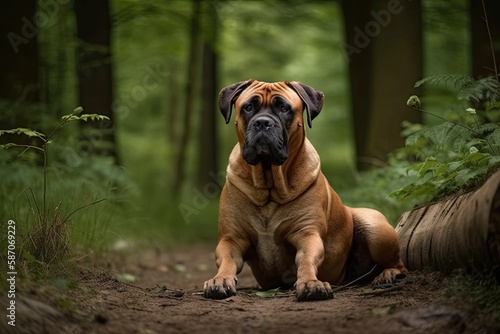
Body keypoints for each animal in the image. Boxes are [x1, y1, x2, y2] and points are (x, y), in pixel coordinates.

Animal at [203, 79, 406, 302]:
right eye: (248, 107)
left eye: (284, 108)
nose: (263, 122)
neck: (269, 185)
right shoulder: (231, 238)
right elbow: (227, 260)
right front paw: (220, 279)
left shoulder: (307, 233)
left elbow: (307, 259)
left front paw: (310, 282)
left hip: (374, 226)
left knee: (400, 264)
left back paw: (387, 275)